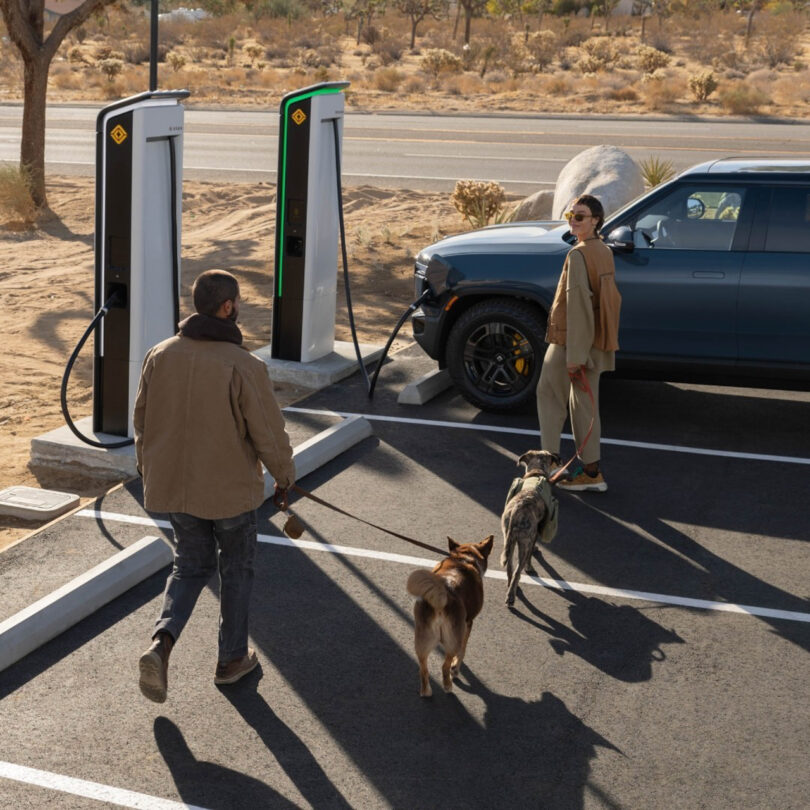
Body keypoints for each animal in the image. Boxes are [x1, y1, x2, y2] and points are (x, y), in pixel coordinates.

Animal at [404, 532, 492, 696]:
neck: (464, 558)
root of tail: (442, 595)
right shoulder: (468, 623)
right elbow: (463, 650)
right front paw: (456, 669)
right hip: (453, 639)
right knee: (445, 665)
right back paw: (448, 685)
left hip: (422, 640)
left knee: (423, 669)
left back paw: (426, 692)